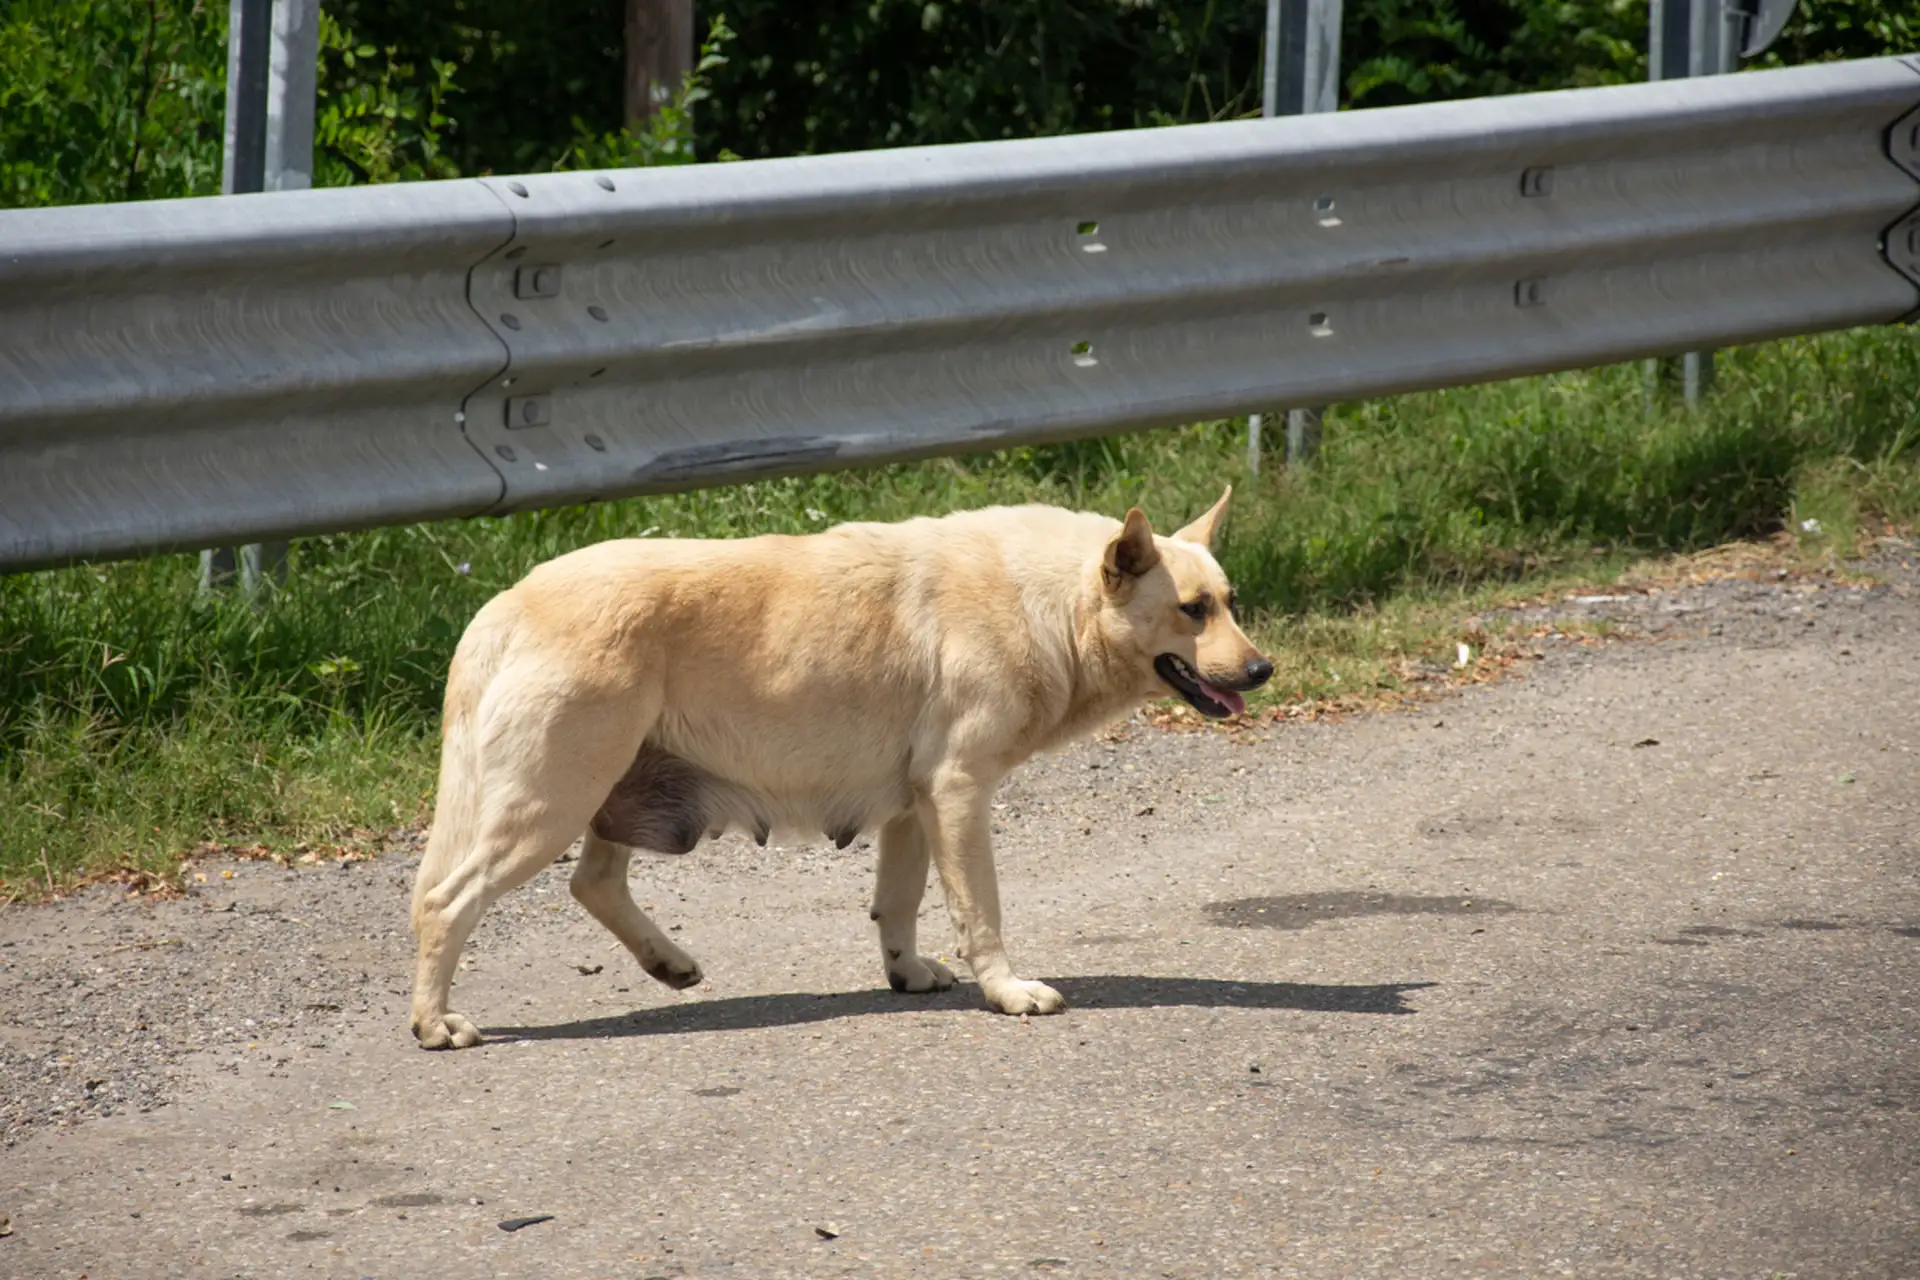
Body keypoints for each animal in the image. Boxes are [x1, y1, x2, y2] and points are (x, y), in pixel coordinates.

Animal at [410, 485, 1267, 1043]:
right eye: (1192, 610)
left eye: (1229, 603)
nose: (1262, 671)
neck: (1052, 603)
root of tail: (501, 605)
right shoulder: (959, 792)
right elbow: (981, 913)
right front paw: (1006, 991)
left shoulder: (917, 806)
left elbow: (901, 904)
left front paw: (908, 973)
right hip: (550, 804)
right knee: (445, 903)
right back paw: (434, 1022)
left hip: (605, 795)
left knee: (593, 884)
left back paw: (668, 962)